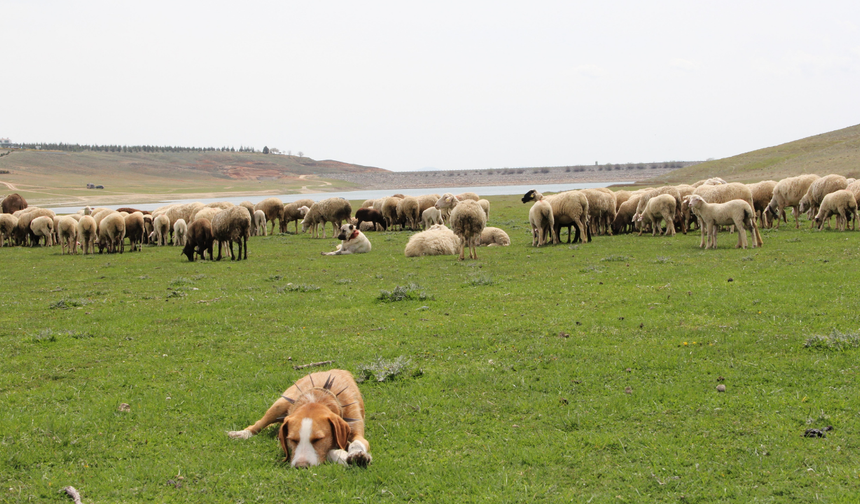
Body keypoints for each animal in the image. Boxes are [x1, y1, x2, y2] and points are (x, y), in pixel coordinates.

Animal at [228, 366, 372, 468]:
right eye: (292, 440)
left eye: (318, 439)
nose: (301, 466)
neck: (318, 398)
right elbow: (330, 451)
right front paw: (342, 455)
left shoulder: (356, 430)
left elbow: (357, 442)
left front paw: (357, 455)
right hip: (280, 404)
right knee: (258, 424)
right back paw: (242, 433)